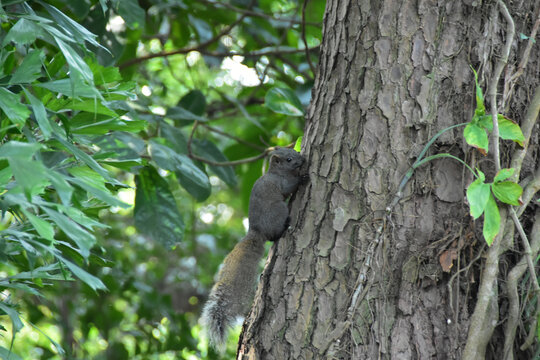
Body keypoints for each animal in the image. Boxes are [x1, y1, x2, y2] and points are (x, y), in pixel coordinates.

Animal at [200, 146, 306, 348]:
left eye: (294, 151)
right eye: (289, 159)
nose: (303, 159)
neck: (276, 172)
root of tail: (258, 232)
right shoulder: (282, 183)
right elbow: (290, 186)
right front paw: (304, 176)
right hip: (279, 209)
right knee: (275, 234)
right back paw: (283, 229)